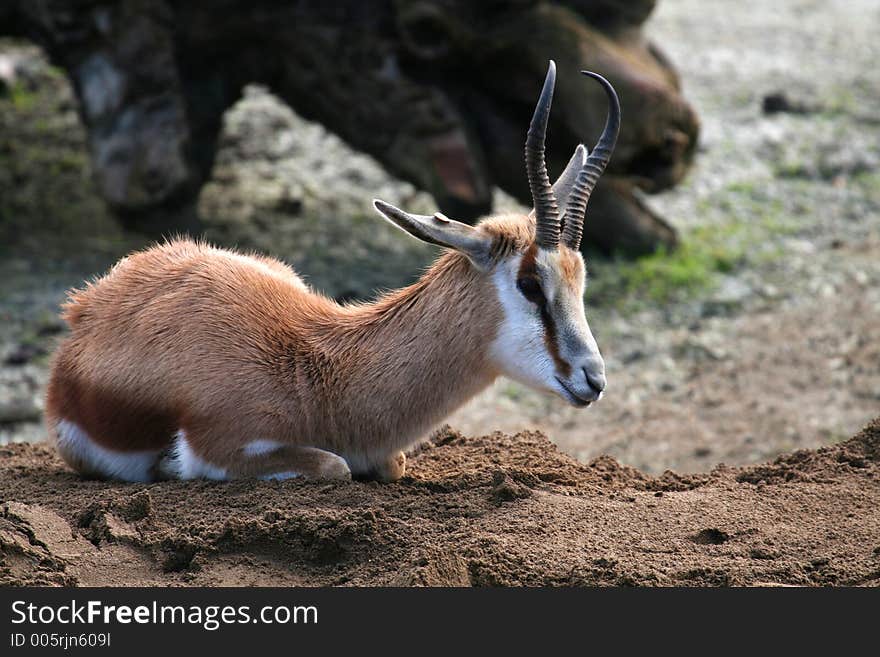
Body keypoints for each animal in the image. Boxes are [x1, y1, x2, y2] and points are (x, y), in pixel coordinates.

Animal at [43, 61, 620, 482]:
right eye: (530, 284)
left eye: (581, 281)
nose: (593, 378)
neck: (321, 377)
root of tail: (88, 308)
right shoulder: (225, 448)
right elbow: (333, 465)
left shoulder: (387, 455)